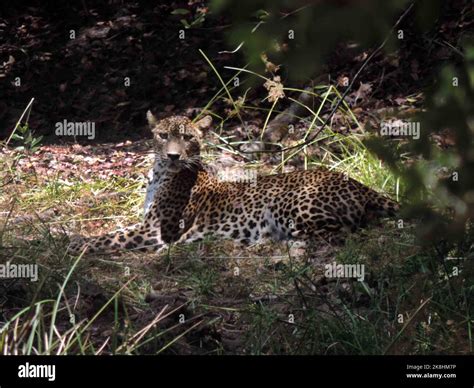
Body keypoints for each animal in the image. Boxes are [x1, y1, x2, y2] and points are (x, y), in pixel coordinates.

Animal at [67, 110, 400, 255]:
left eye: (188, 138)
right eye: (163, 136)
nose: (173, 155)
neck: (160, 173)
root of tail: (356, 182)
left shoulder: (155, 231)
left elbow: (106, 239)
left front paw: (69, 244)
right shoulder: (145, 224)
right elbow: (112, 232)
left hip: (291, 203)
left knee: (343, 232)